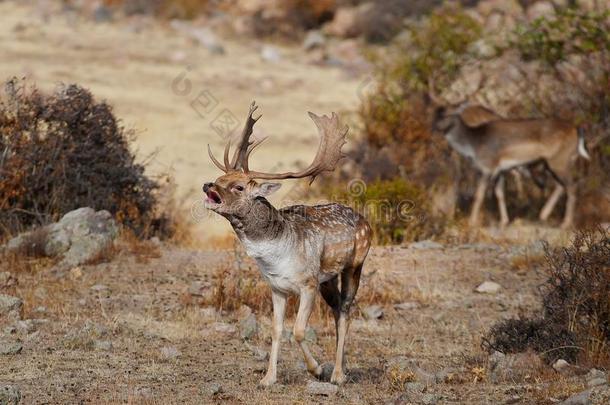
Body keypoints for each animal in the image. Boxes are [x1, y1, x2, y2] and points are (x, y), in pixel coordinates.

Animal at [203, 101, 370, 386]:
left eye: (238, 187)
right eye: (219, 178)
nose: (207, 185)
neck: (277, 258)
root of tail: (366, 221)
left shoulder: (308, 283)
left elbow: (299, 331)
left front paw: (316, 370)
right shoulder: (277, 288)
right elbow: (276, 330)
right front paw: (268, 378)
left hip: (354, 264)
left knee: (347, 310)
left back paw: (337, 375)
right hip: (328, 279)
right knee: (337, 310)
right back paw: (343, 367)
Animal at [426, 80, 588, 229]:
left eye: (449, 114)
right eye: (436, 112)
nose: (433, 127)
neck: (473, 145)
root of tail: (577, 130)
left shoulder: (487, 167)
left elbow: (479, 195)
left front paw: (472, 222)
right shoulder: (500, 170)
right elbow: (499, 194)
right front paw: (503, 221)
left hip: (559, 160)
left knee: (572, 187)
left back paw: (565, 223)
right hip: (552, 163)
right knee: (561, 185)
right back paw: (543, 215)